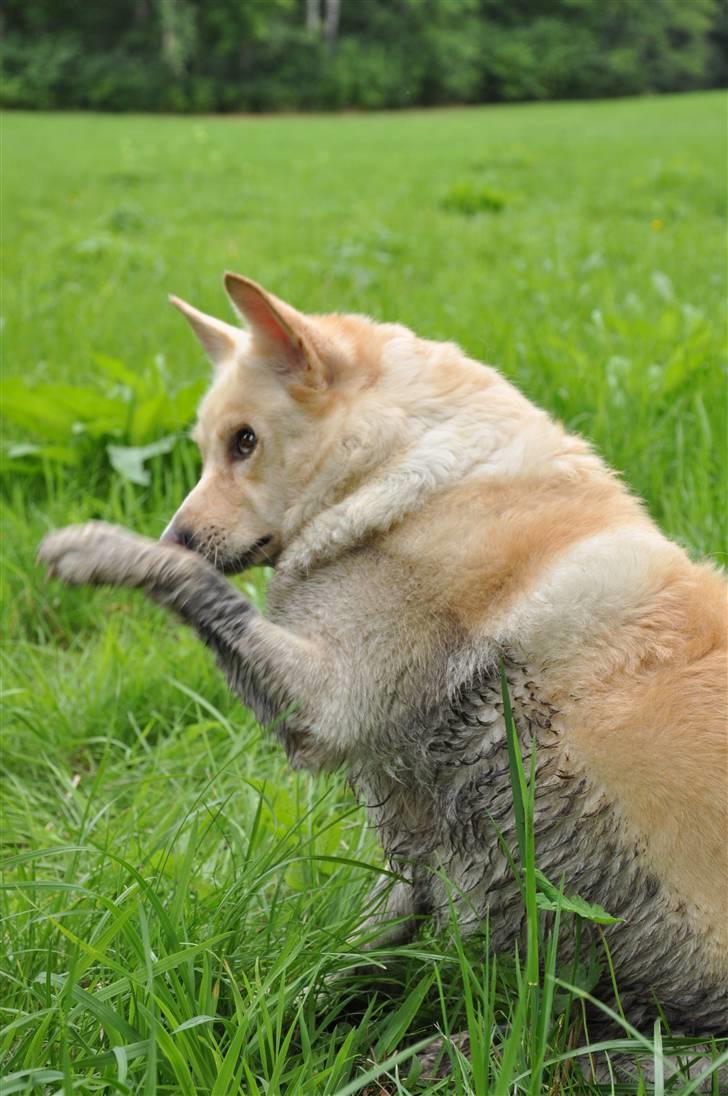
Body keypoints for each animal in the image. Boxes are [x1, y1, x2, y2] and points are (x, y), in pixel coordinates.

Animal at [39, 271, 728, 1043]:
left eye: (244, 443)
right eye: (210, 448)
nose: (176, 535)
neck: (405, 469)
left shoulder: (329, 702)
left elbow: (197, 586)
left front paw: (103, 549)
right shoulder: (410, 840)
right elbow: (350, 949)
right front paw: (277, 1015)